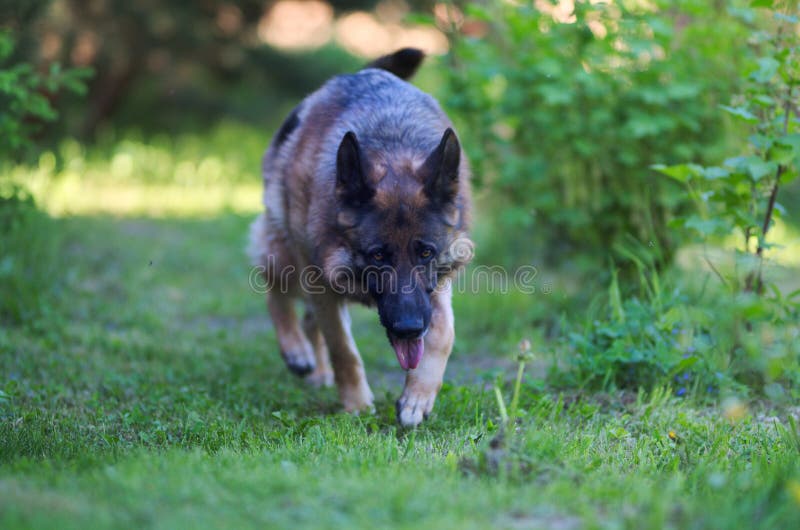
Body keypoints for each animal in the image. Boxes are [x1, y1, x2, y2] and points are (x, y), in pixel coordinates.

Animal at [248, 47, 468, 422]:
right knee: (276, 292)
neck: (393, 147)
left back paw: (318, 371)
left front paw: (418, 397)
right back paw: (295, 350)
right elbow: (344, 350)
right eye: (378, 255)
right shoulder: (322, 283)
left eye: (425, 253)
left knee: (310, 320)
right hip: (287, 253)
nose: (409, 328)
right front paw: (357, 406)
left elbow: (444, 335)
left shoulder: (436, 286)